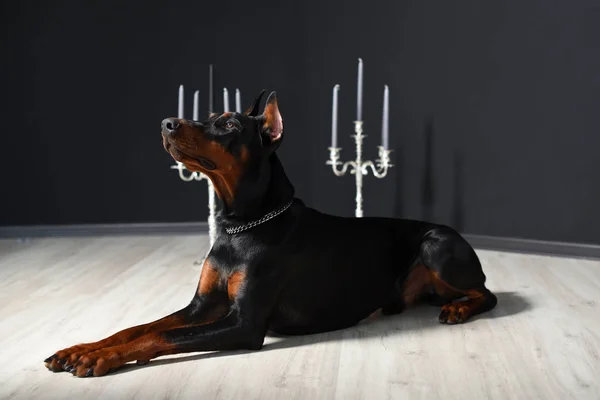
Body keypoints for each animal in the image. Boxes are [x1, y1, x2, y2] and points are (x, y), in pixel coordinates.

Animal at [43, 89, 496, 376]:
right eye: (209, 116)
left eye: (228, 125)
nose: (167, 122)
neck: (240, 227)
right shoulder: (202, 306)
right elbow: (141, 328)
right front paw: (80, 349)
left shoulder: (244, 324)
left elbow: (163, 334)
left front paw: (102, 359)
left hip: (436, 244)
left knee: (487, 294)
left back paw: (459, 309)